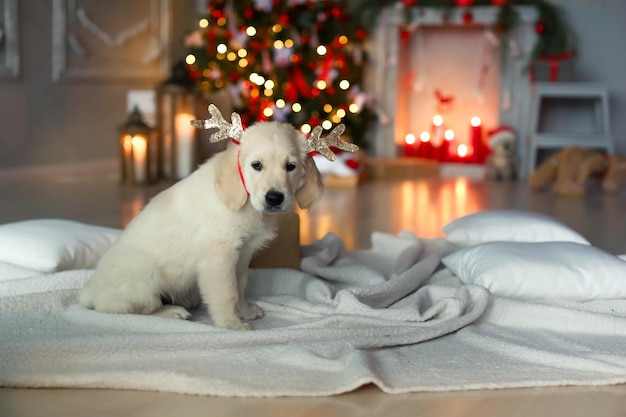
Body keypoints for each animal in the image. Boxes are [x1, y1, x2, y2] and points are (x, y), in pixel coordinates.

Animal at [79, 122, 322, 330]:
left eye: (290, 166)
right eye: (257, 165)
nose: (274, 198)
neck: (245, 203)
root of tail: (88, 291)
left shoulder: (242, 255)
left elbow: (240, 286)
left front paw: (244, 311)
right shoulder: (219, 257)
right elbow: (227, 292)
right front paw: (231, 324)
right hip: (142, 285)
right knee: (134, 309)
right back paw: (173, 311)